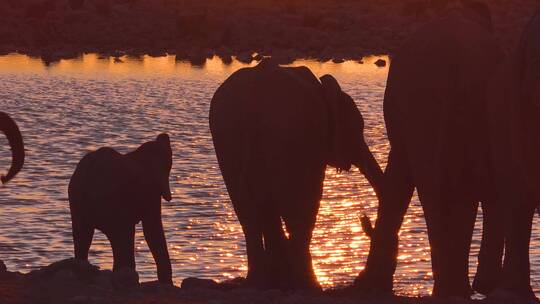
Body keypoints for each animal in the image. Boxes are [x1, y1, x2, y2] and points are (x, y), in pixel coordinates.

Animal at [68, 134, 173, 284]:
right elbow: (151, 230)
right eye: (169, 165)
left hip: (78, 202)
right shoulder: (149, 189)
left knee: (84, 235)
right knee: (122, 236)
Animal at [209, 59, 382, 290]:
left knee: (250, 212)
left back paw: (259, 283)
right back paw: (308, 286)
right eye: (358, 128)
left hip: (228, 138)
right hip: (289, 137)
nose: (364, 219)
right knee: (296, 210)